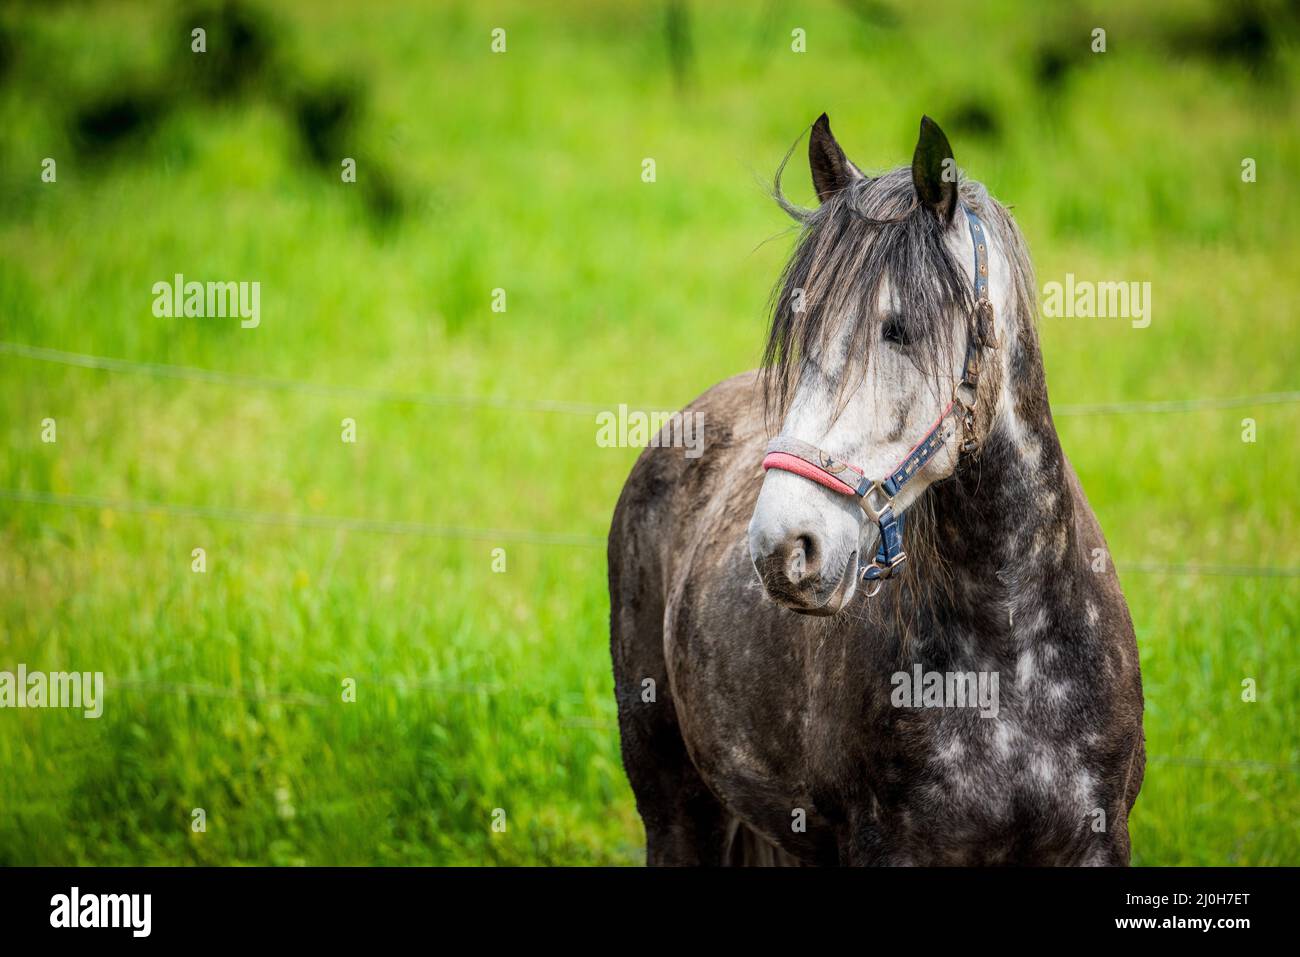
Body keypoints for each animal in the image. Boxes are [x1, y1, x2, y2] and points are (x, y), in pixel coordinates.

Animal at [603, 113, 1144, 868]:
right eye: (800, 329)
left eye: (900, 329)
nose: (783, 549)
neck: (1010, 647)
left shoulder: (1097, 839)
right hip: (676, 806)